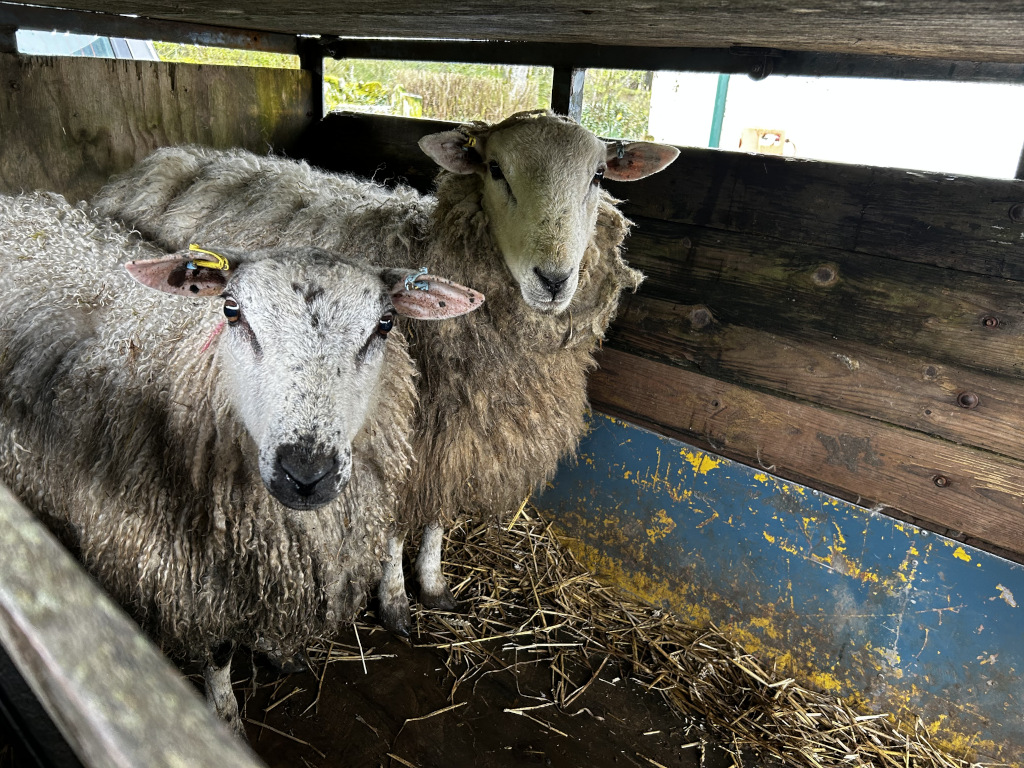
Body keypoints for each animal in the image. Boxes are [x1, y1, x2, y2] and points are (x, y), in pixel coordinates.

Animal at [0, 191, 484, 731]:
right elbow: (219, 652)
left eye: (385, 324)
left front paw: (278, 650)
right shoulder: (199, 582)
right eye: (231, 311)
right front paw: (224, 715)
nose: (305, 473)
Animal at [91, 109, 680, 634]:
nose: (553, 279)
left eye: (598, 175)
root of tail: (161, 157)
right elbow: (393, 526)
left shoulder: (454, 435)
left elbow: (438, 514)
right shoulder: (398, 431)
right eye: (495, 169)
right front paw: (395, 601)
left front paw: (435, 583)